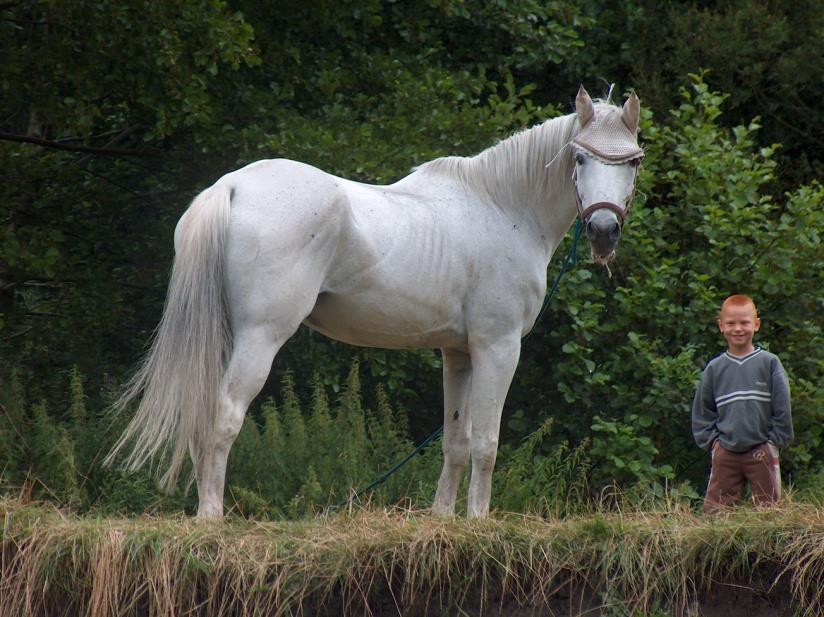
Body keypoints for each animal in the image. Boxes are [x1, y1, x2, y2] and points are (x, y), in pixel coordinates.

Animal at [106, 86, 644, 516]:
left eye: (634, 161)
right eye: (580, 158)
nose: (604, 232)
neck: (503, 207)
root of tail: (231, 186)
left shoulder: (459, 353)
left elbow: (456, 441)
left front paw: (444, 520)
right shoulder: (498, 347)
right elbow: (487, 444)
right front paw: (479, 521)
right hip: (260, 338)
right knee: (224, 416)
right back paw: (211, 517)